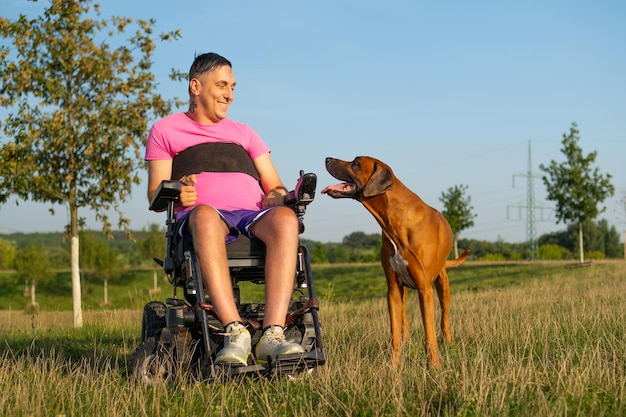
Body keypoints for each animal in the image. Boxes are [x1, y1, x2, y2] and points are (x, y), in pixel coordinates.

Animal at [322, 156, 468, 368]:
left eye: (356, 163)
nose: (327, 159)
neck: (394, 222)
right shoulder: (392, 289)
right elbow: (395, 330)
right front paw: (394, 363)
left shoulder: (425, 289)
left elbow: (429, 330)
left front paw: (433, 364)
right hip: (403, 289)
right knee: (404, 318)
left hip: (443, 284)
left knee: (444, 316)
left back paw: (448, 341)